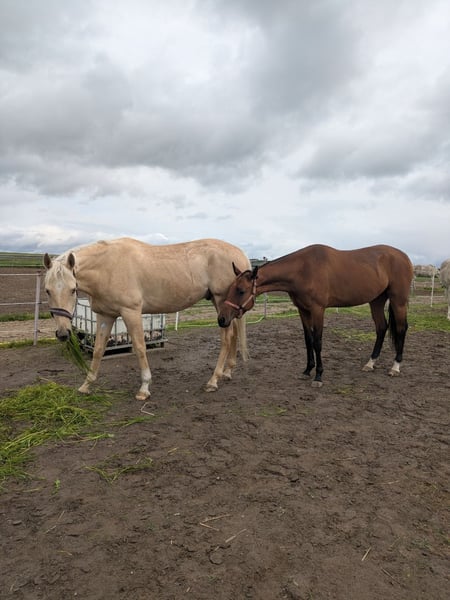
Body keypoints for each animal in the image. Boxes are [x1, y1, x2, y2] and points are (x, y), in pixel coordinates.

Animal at [44, 237, 251, 400]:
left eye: (73, 289)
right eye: (47, 290)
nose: (63, 333)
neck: (108, 267)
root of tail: (239, 253)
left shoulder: (131, 312)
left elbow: (140, 347)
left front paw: (144, 388)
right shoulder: (105, 316)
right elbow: (98, 350)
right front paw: (86, 385)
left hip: (220, 301)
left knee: (226, 338)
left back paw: (213, 381)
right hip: (225, 308)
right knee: (233, 335)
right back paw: (227, 372)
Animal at [217, 244, 414, 387]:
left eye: (241, 291)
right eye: (230, 288)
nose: (222, 319)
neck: (303, 270)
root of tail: (404, 257)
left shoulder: (318, 309)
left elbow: (318, 341)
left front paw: (318, 376)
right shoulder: (303, 310)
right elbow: (308, 340)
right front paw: (307, 370)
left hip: (398, 301)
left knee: (402, 329)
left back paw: (395, 366)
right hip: (377, 301)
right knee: (381, 328)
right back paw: (370, 363)